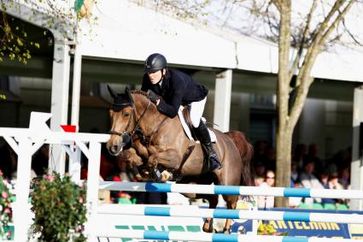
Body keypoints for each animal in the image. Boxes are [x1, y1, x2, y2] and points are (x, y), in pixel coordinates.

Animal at [106, 87, 253, 233]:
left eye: (126, 114)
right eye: (111, 114)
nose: (112, 146)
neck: (156, 126)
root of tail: (230, 140)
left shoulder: (174, 158)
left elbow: (153, 158)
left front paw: (162, 174)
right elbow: (133, 157)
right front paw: (145, 173)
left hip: (227, 182)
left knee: (231, 203)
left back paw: (226, 230)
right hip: (193, 187)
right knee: (213, 198)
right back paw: (208, 226)